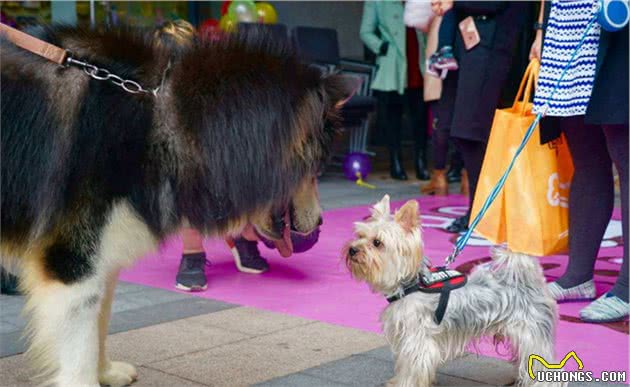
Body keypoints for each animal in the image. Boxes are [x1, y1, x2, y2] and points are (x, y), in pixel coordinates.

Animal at [0, 25, 354, 386]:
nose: (322, 222)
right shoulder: (72, 261)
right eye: (314, 170)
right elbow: (80, 349)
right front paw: (89, 378)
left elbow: (100, 320)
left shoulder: (102, 253)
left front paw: (106, 372)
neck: (159, 117)